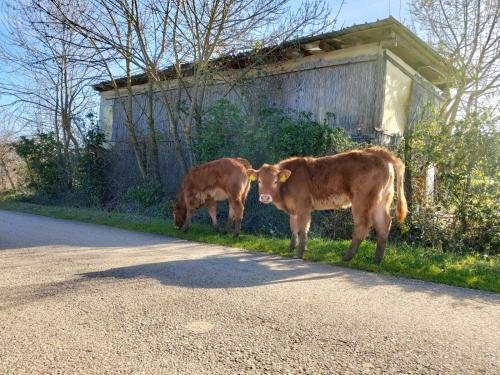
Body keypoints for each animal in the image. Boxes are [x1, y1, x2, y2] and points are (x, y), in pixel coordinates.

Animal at [246, 148, 406, 264]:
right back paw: (377, 260)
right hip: (382, 200)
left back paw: (347, 257)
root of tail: (377, 151)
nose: (265, 197)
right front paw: (290, 248)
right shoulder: (294, 210)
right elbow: (293, 228)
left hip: (362, 200)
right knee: (384, 223)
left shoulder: (303, 206)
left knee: (362, 225)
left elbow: (303, 229)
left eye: (275, 181)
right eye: (259, 181)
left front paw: (299, 253)